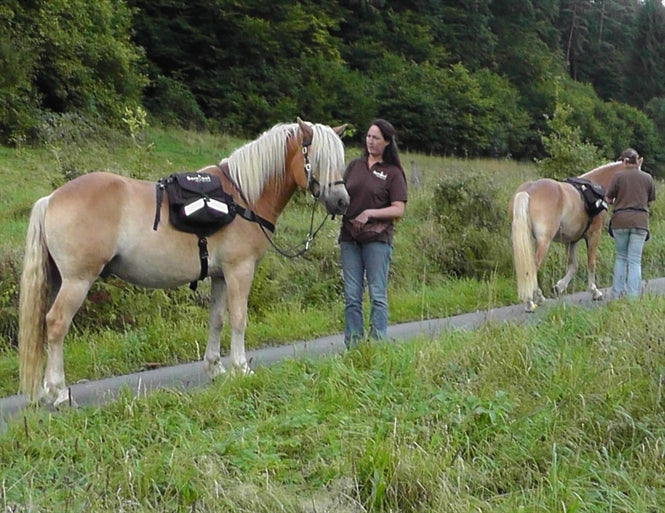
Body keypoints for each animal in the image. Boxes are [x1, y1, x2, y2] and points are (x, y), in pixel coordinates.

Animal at [18, 118, 350, 406]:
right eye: (318, 158)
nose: (342, 202)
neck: (241, 198)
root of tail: (51, 199)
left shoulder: (220, 275)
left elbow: (217, 319)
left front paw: (215, 367)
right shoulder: (239, 270)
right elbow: (239, 318)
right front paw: (241, 368)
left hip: (59, 281)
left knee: (45, 326)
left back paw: (46, 389)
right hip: (77, 281)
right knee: (57, 324)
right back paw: (59, 392)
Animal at [509, 157, 641, 312]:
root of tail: (527, 191)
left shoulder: (571, 240)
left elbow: (573, 266)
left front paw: (558, 287)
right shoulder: (593, 235)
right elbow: (591, 263)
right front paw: (594, 291)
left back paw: (539, 298)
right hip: (543, 242)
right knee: (532, 268)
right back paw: (530, 302)